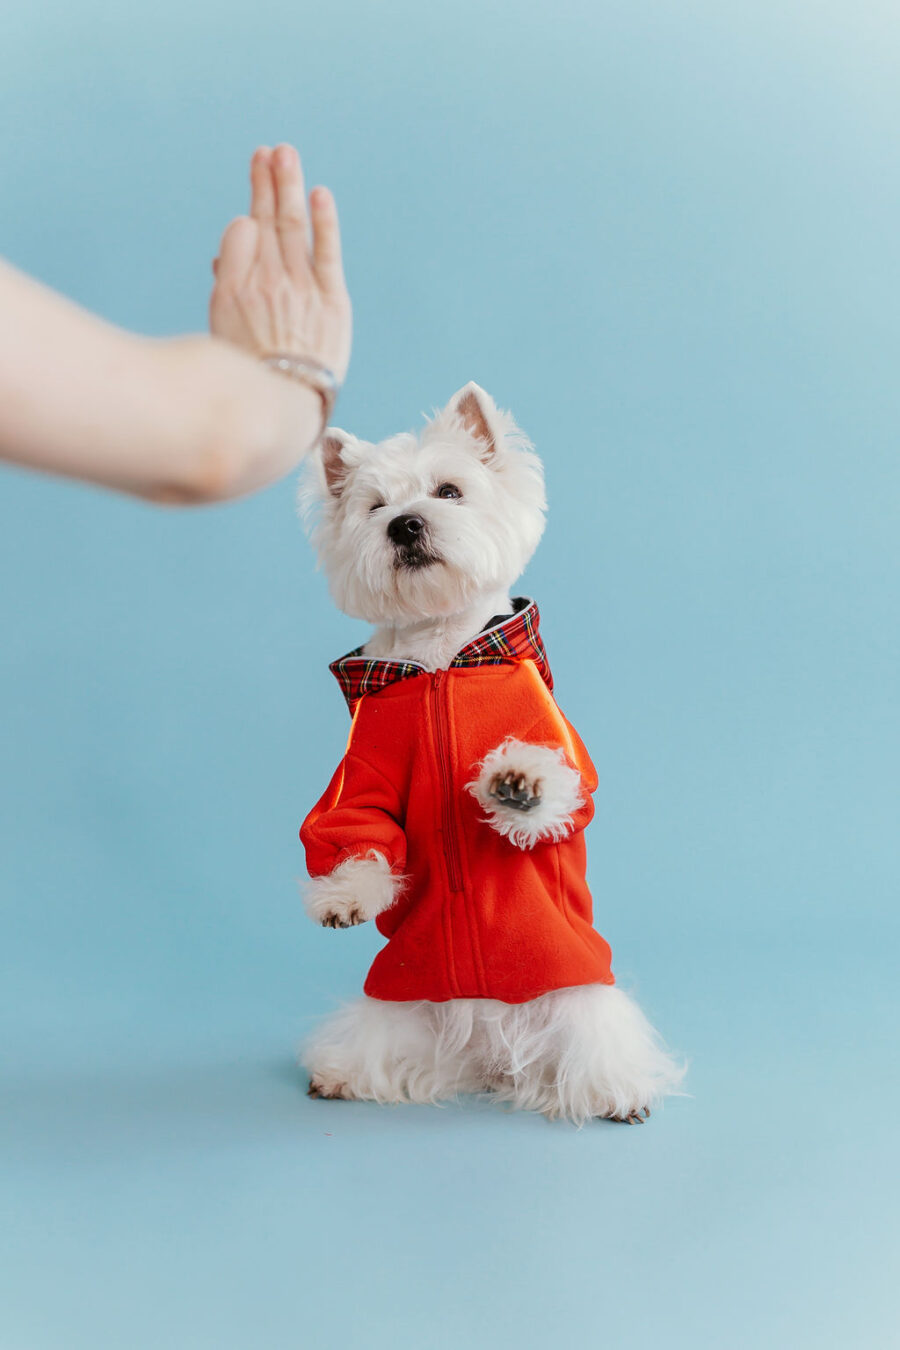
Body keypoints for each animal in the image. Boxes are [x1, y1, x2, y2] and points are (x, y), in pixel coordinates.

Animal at [295, 380, 682, 1117]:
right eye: (374, 506)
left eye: (449, 491)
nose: (404, 526)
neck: (441, 663)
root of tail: (487, 1041)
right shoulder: (362, 777)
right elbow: (357, 833)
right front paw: (343, 898)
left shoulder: (557, 744)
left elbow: (558, 793)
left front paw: (516, 783)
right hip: (396, 1006)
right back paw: (341, 1074)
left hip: (582, 1000)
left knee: (595, 1049)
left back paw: (617, 1092)